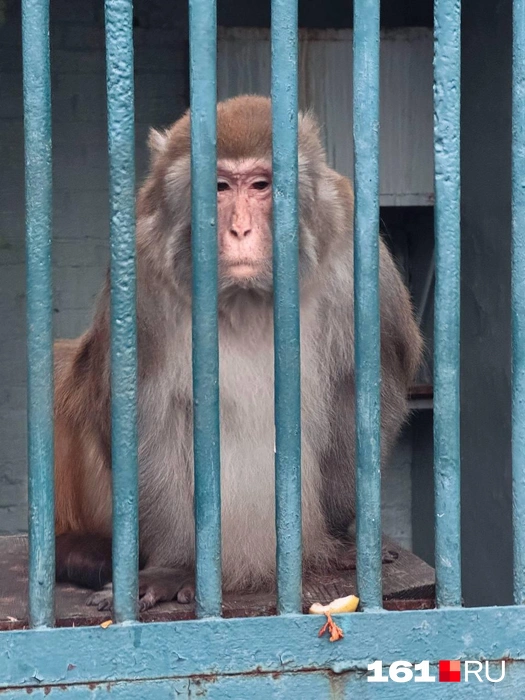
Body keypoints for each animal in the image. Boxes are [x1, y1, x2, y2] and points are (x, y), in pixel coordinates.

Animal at [53, 95, 423, 612]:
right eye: (220, 187)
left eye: (261, 185)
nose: (240, 230)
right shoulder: (142, 285)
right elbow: (147, 417)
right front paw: (175, 565)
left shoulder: (358, 263)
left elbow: (364, 391)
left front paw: (338, 540)